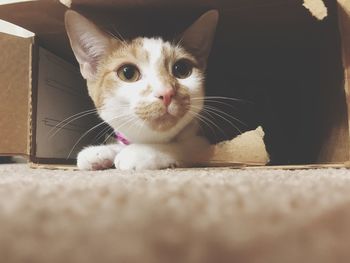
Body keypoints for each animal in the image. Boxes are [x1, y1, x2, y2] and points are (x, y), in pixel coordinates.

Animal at [65, 9, 219, 171]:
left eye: (182, 69)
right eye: (128, 73)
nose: (166, 93)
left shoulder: (203, 142)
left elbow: (186, 146)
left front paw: (139, 152)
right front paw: (104, 150)